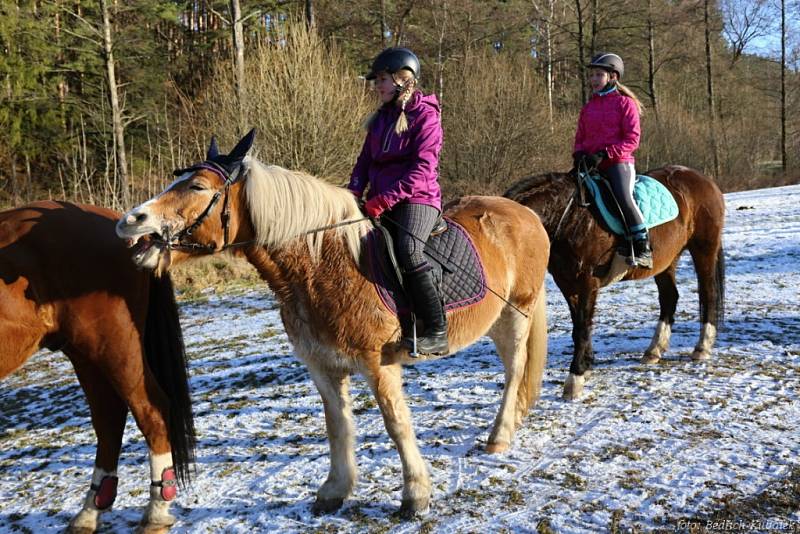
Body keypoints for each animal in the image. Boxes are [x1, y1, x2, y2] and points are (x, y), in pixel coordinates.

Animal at [0, 202, 194, 534]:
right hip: (83, 351)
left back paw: (156, 511)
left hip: (112, 343)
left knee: (150, 409)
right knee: (108, 417)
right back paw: (91, 510)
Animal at [114, 131, 552, 520]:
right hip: (496, 320)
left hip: (516, 313)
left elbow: (397, 425)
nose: (130, 221)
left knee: (514, 371)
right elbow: (337, 426)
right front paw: (334, 491)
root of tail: (523, 212)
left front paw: (415, 496)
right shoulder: (323, 366)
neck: (322, 266)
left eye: (198, 186)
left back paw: (499, 435)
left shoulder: (378, 364)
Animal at [506, 168, 724, 402]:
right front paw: (586, 365)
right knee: (669, 298)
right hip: (667, 261)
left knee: (708, 293)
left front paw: (575, 379)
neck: (571, 217)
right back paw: (653, 351)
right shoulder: (566, 283)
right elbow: (579, 326)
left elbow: (582, 327)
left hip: (704, 250)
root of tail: (704, 179)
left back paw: (702, 348)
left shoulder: (587, 282)